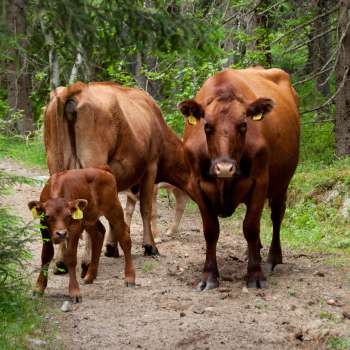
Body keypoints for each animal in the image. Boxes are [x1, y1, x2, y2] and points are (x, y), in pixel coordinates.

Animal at [28, 167, 135, 300]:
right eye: (47, 216)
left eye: (68, 215)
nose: (61, 234)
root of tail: (104, 171)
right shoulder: (43, 228)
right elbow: (46, 255)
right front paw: (39, 288)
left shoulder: (75, 227)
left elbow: (70, 257)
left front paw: (74, 291)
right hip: (90, 218)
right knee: (99, 233)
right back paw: (90, 276)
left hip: (114, 209)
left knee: (124, 237)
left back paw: (130, 278)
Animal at [179, 67, 300, 288]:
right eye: (207, 126)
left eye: (244, 125)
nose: (224, 168)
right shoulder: (197, 184)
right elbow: (211, 230)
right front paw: (209, 276)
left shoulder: (260, 181)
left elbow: (250, 227)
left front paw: (255, 275)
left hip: (282, 183)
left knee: (276, 216)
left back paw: (272, 258)